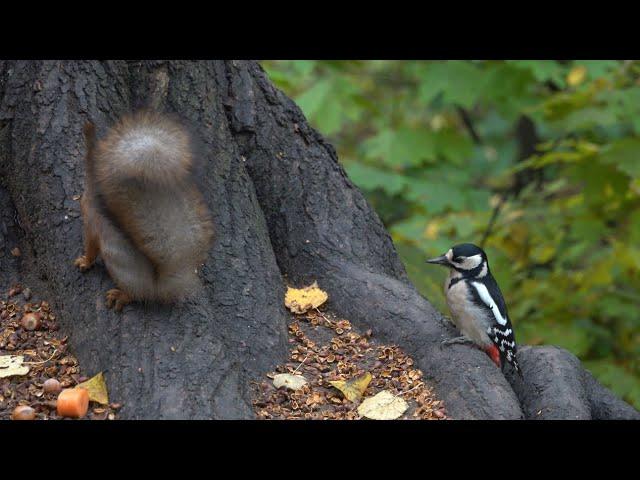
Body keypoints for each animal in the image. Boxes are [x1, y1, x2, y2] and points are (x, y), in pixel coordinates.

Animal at [74, 111, 215, 312]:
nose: (87, 123)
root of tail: (156, 288)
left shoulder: (92, 222)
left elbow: (91, 246)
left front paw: (85, 261)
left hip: (122, 272)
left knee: (137, 295)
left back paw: (120, 296)